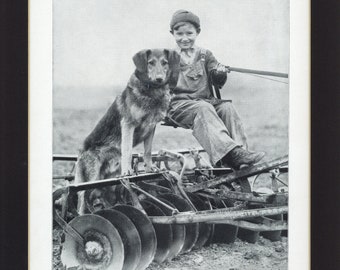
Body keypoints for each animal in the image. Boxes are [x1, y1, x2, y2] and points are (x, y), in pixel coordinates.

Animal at [74, 48, 181, 213]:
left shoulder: (151, 127)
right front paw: (127, 172)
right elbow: (128, 150)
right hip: (91, 177)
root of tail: (80, 152)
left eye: (165, 63)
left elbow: (147, 152)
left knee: (105, 194)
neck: (152, 92)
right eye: (150, 63)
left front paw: (150, 168)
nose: (159, 79)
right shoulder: (128, 124)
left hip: (107, 180)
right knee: (82, 199)